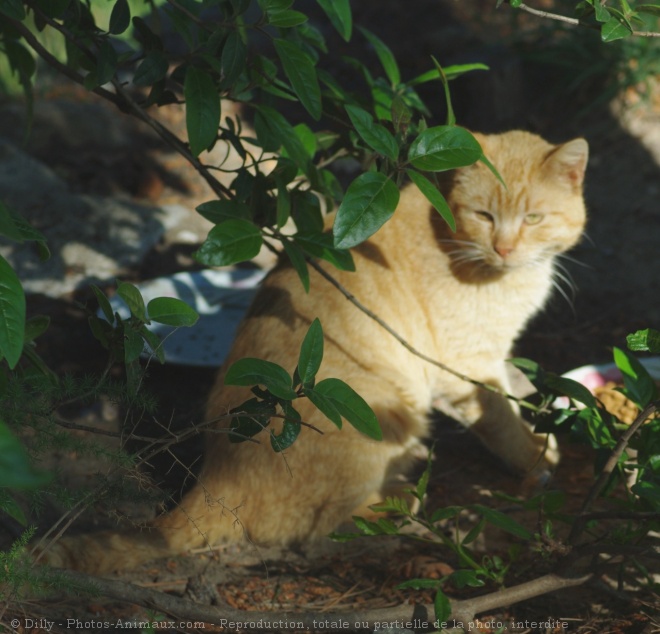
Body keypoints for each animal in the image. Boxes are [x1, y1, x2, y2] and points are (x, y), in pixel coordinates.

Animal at [38, 130, 588, 572]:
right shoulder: (465, 366)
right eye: (484, 215)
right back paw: (396, 497)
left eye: (533, 217)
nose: (504, 249)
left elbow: (512, 394)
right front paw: (535, 453)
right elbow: (500, 419)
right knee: (319, 525)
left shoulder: (493, 355)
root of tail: (217, 474)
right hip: (380, 411)